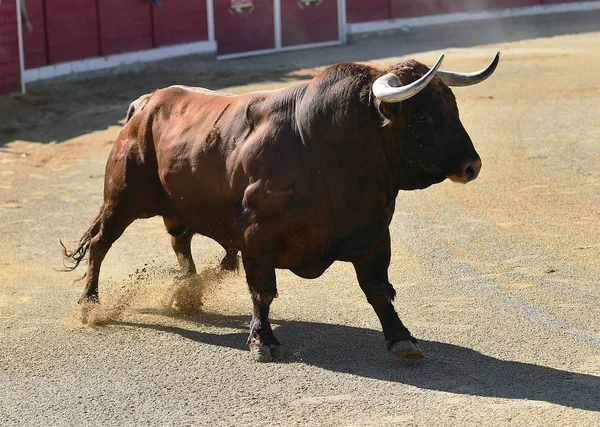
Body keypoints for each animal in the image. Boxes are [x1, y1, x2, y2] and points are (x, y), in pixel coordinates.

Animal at [63, 52, 500, 362]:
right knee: (101, 245)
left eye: (453, 107)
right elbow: (263, 289)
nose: (472, 166)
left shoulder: (374, 233)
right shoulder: (258, 236)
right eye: (421, 115)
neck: (333, 147)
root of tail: (144, 103)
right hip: (121, 200)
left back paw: (188, 291)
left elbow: (378, 289)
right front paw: (263, 341)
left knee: (179, 240)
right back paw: (89, 304)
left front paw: (401, 338)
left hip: (176, 205)